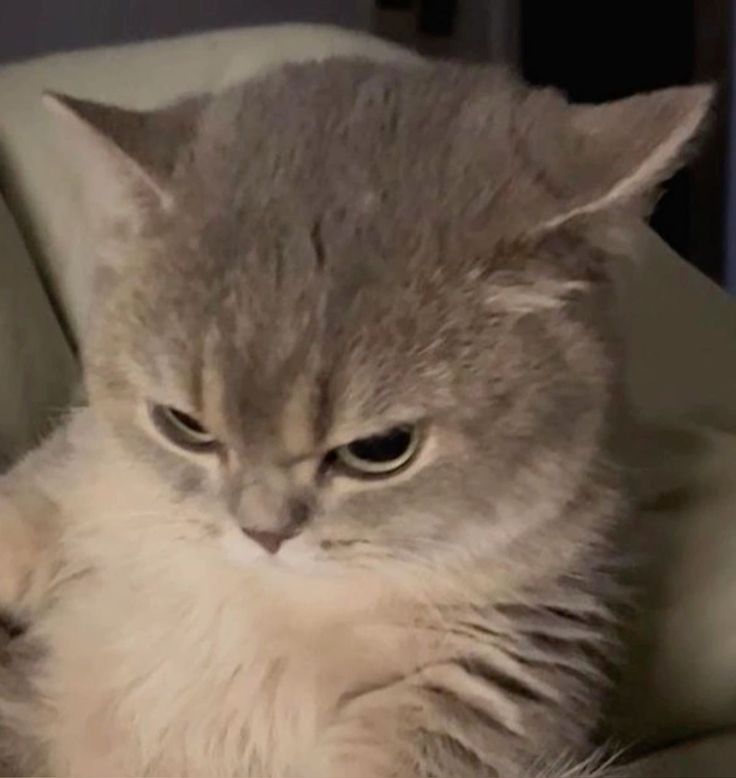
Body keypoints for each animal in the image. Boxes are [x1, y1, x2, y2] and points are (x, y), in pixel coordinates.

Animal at [0, 57, 712, 772]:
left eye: (381, 448)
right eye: (185, 425)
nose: (263, 533)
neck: (266, 599)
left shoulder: (490, 674)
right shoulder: (73, 478)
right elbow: (21, 514)